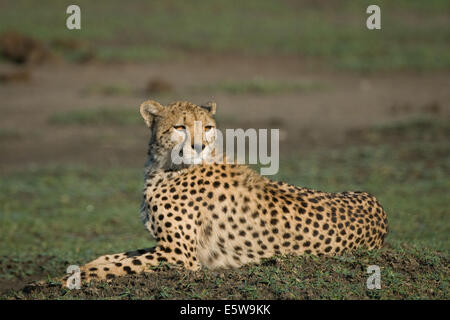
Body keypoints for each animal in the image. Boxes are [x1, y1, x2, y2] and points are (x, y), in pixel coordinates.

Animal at [72, 99, 388, 282]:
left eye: (207, 127)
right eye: (179, 126)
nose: (199, 146)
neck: (165, 166)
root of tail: (377, 207)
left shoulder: (180, 255)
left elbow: (121, 265)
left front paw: (76, 277)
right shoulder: (167, 246)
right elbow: (119, 256)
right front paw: (87, 265)